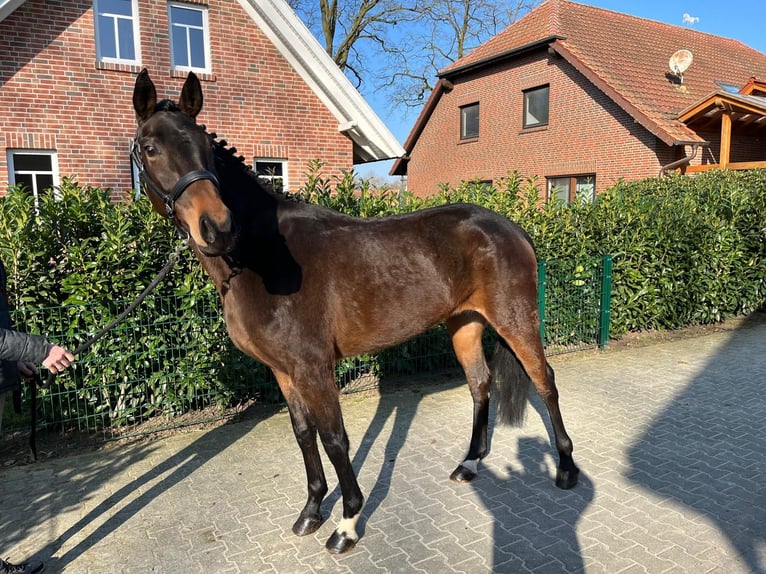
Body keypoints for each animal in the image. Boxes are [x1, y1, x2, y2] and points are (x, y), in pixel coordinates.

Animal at [132, 70, 580, 556]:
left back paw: (565, 468)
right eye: (150, 147)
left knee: (544, 381)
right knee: (481, 384)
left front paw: (346, 523)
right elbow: (303, 433)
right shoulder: (283, 370)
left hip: (515, 319)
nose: (217, 227)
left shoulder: (313, 367)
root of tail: (511, 227)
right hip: (464, 323)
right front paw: (311, 512)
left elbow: (334, 438)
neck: (264, 256)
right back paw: (470, 464)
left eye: (204, 146)